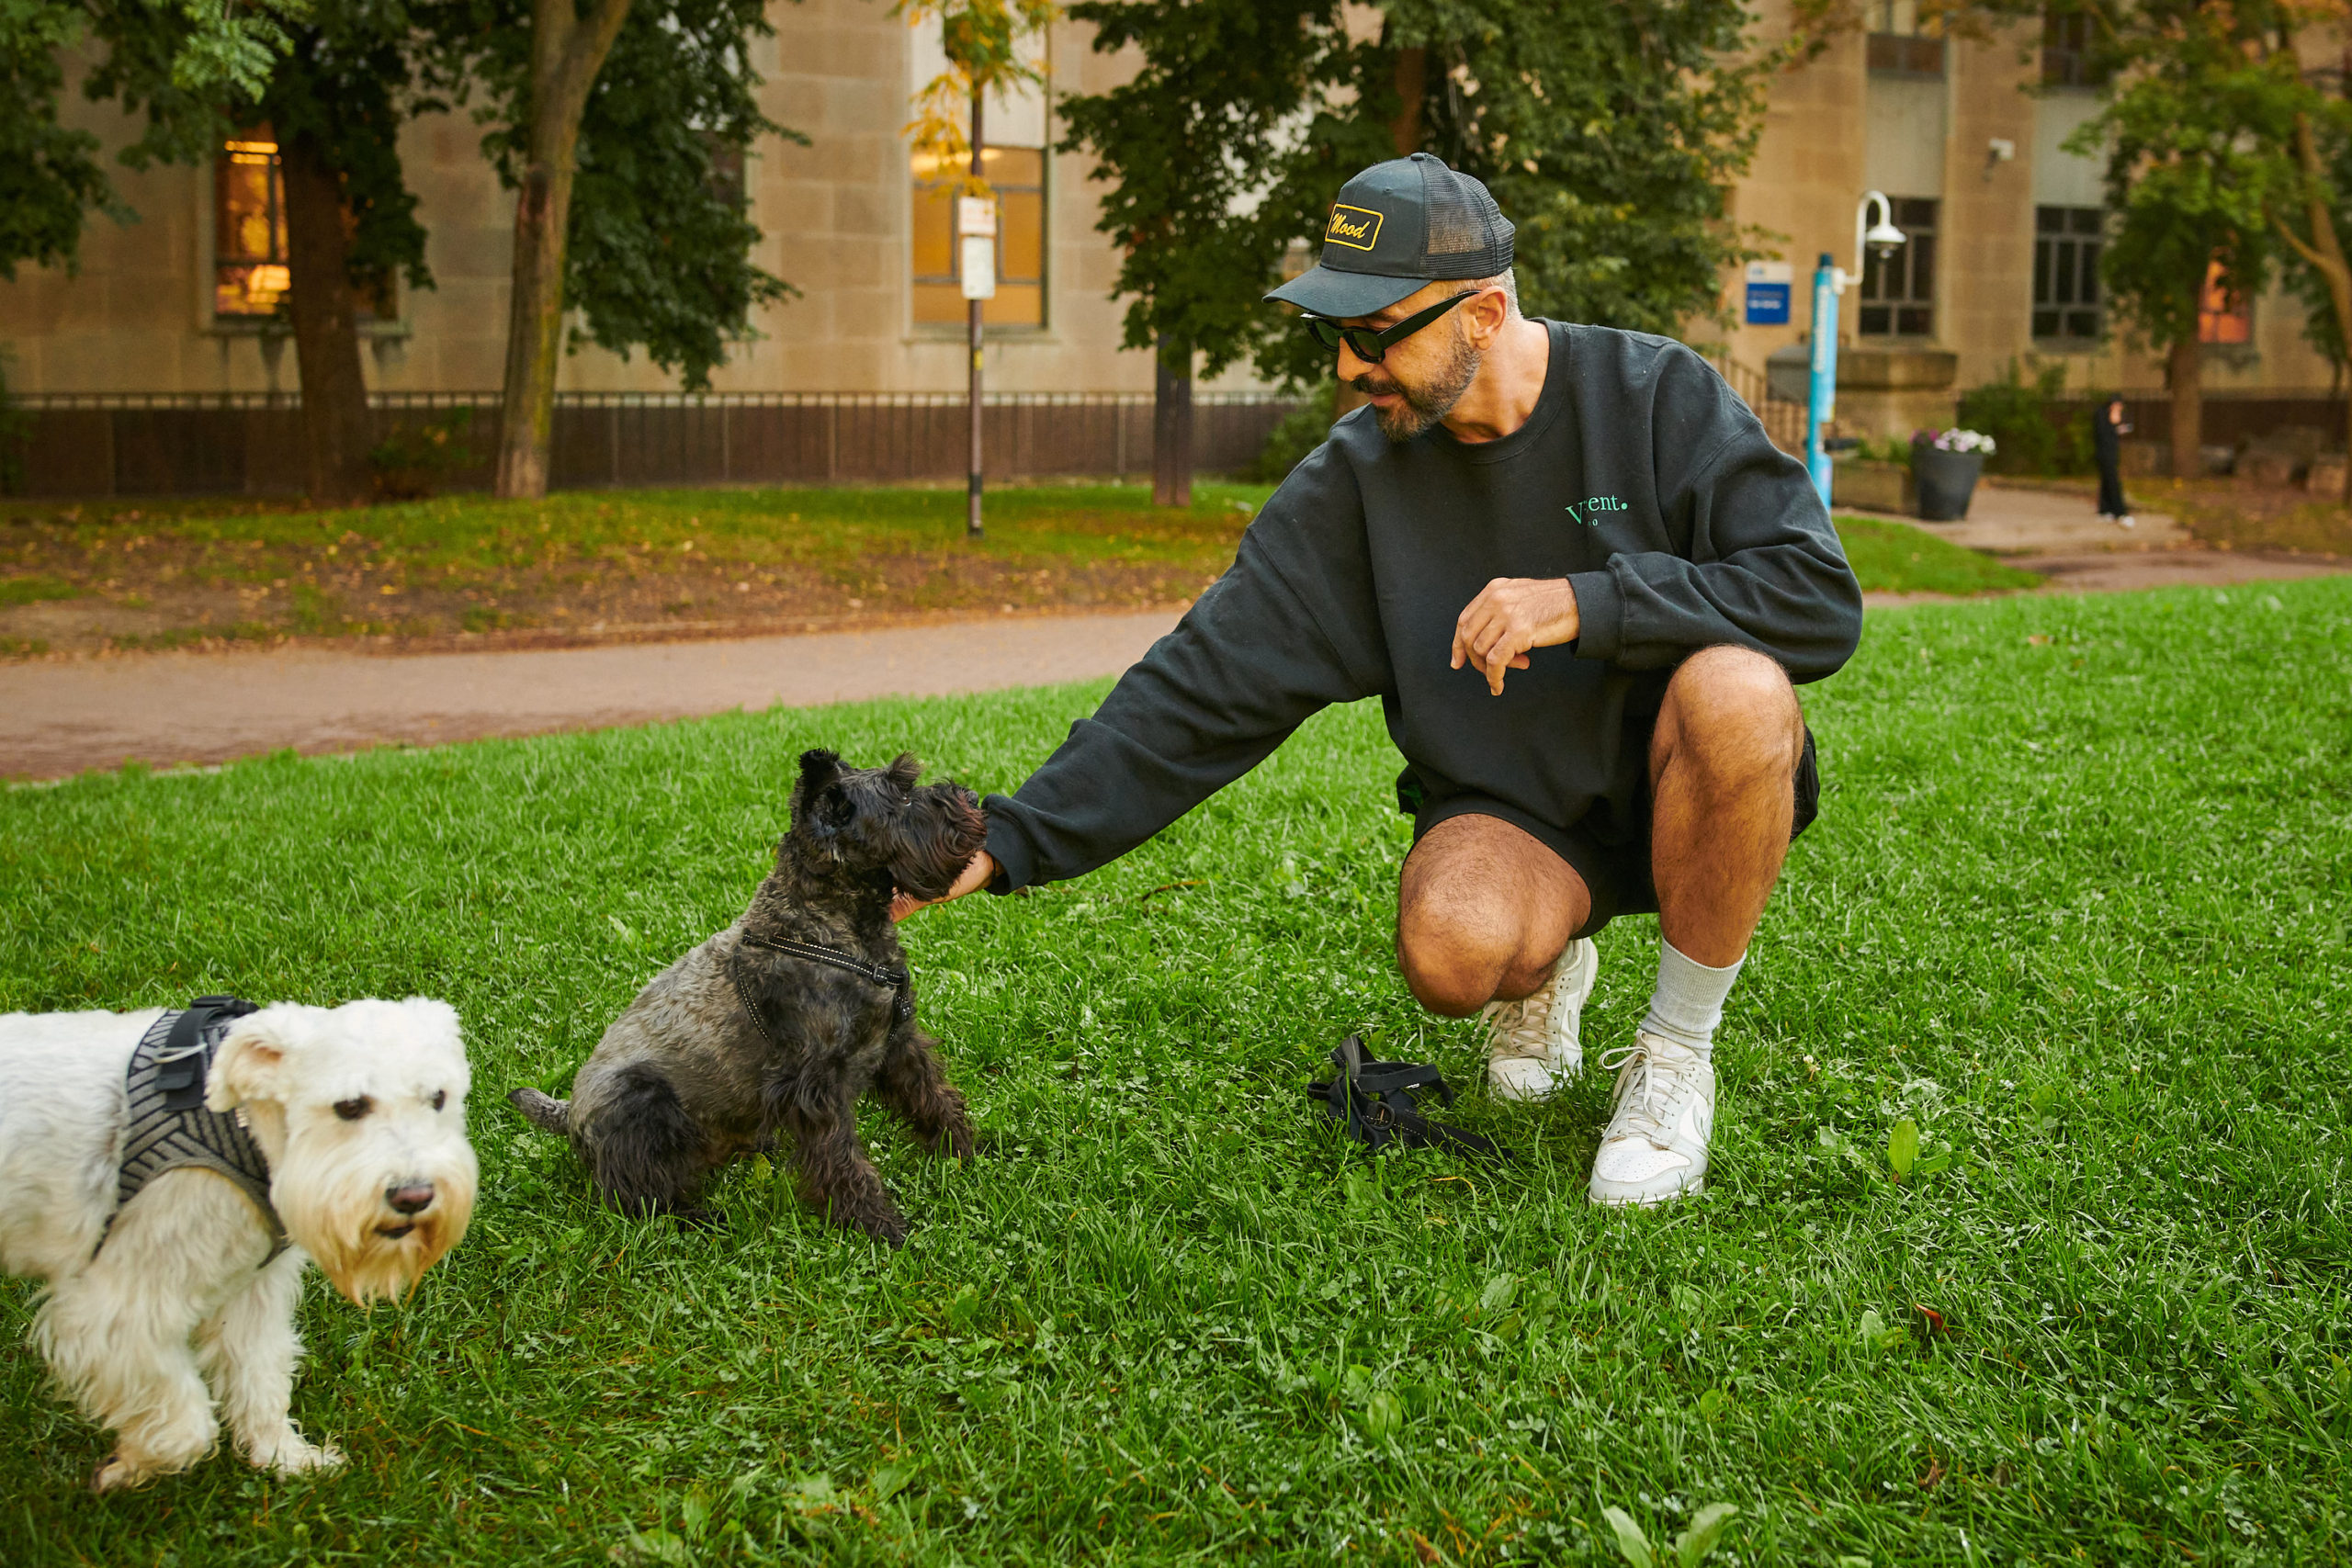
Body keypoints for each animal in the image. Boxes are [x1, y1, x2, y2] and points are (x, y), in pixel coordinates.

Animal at [0, 1001, 477, 1495]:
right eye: (349, 1106)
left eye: (437, 1098)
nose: (414, 1196)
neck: (242, 1128)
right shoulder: (115, 1315)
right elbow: (187, 1427)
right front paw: (130, 1466)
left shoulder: (253, 1296)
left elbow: (259, 1381)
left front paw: (284, 1458)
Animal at [510, 751, 988, 1241]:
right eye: (903, 795)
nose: (973, 797)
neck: (830, 930)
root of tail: (569, 1114)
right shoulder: (817, 1088)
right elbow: (841, 1157)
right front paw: (875, 1223)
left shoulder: (899, 1045)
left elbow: (934, 1099)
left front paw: (964, 1152)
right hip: (642, 1102)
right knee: (636, 1195)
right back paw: (697, 1217)